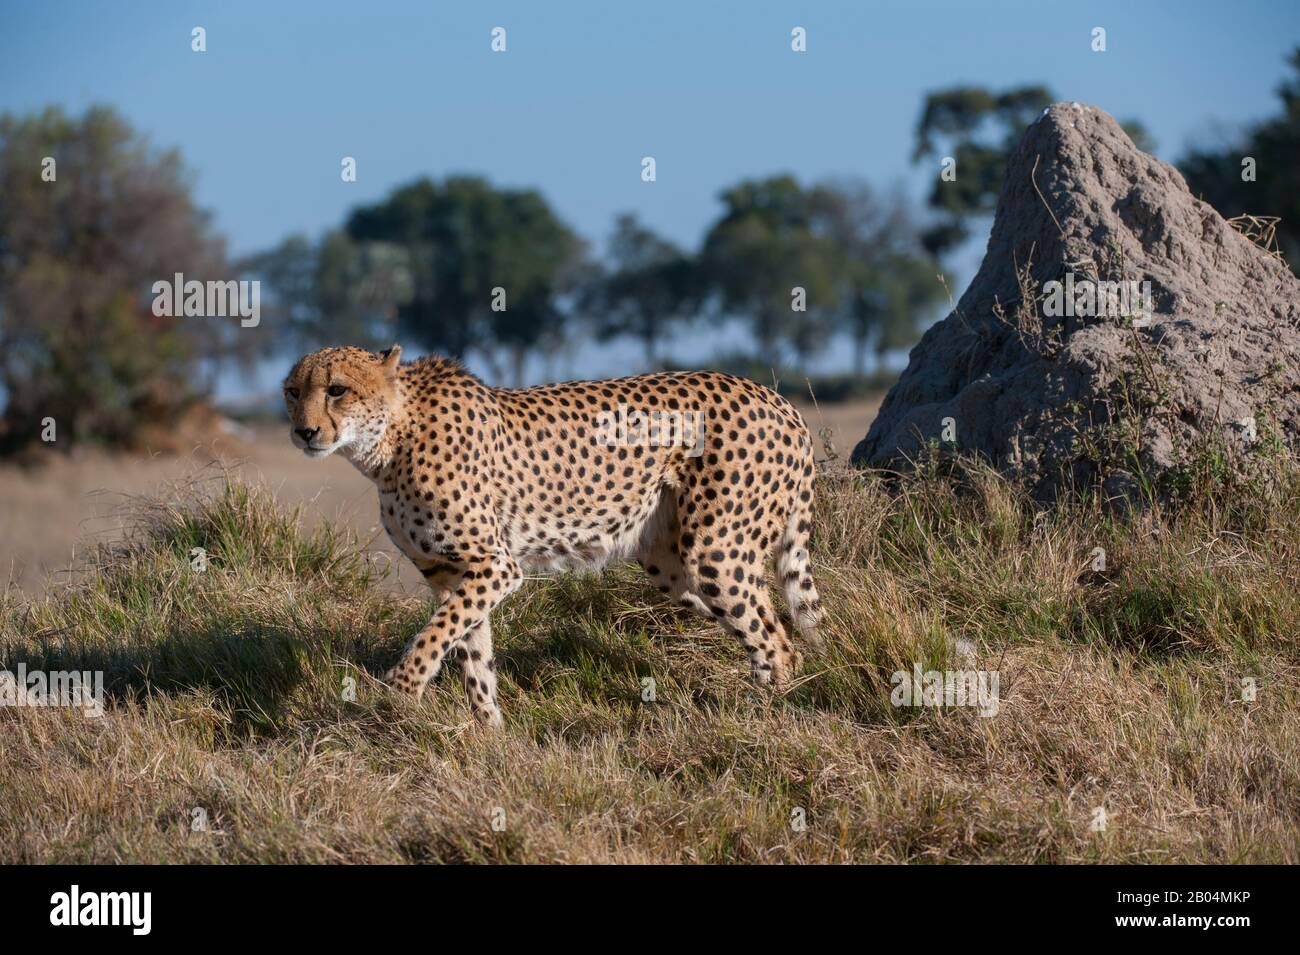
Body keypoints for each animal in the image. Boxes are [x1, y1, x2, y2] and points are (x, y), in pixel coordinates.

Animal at [283, 345, 823, 726]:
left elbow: (435, 635)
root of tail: (777, 398)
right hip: (671, 565)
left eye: (336, 389)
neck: (391, 438)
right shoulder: (452, 574)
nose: (304, 432)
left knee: (778, 640)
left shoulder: (495, 565)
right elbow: (470, 650)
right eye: (292, 391)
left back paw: (764, 721)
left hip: (715, 551)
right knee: (768, 631)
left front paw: (402, 688)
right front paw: (489, 736)